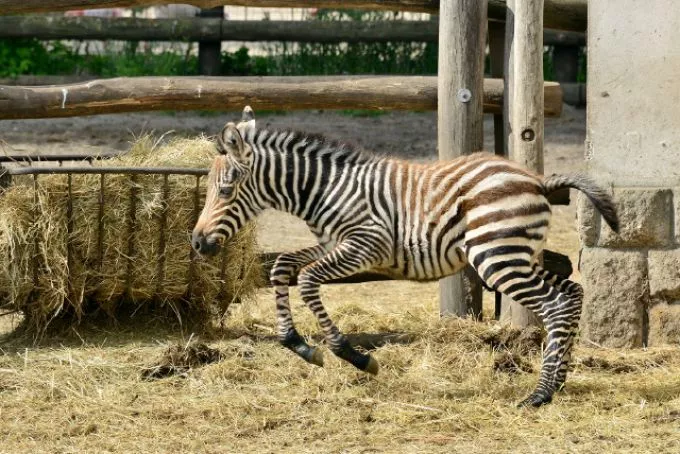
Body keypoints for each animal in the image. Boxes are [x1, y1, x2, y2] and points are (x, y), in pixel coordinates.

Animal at [193, 107, 620, 408]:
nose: (196, 243)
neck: (325, 190)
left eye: (225, 190)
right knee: (571, 294)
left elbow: (309, 280)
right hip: (517, 255)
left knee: (554, 304)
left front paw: (353, 356)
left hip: (497, 258)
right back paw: (558, 382)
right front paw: (298, 344)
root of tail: (537, 180)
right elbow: (283, 267)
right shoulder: (331, 243)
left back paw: (540, 393)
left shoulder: (366, 245)